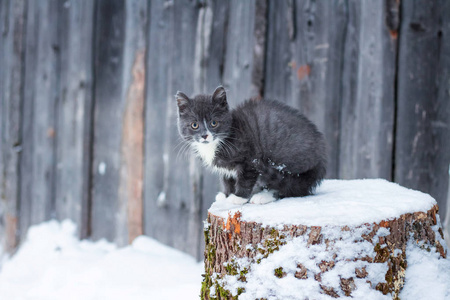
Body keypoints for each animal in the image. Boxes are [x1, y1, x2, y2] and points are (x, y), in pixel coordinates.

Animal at [176, 85, 326, 205]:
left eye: (214, 123)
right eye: (194, 125)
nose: (204, 135)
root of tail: (320, 160)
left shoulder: (249, 159)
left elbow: (246, 178)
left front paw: (238, 197)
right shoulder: (225, 168)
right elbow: (227, 178)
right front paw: (226, 194)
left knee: (290, 188)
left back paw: (264, 196)